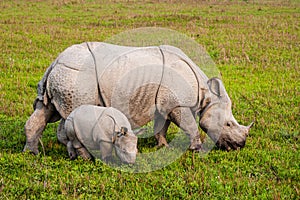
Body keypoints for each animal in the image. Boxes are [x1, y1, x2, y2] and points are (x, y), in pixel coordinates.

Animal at [24, 41, 253, 155]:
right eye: (229, 124)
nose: (240, 145)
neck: (206, 94)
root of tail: (55, 61)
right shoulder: (178, 104)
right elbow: (189, 125)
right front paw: (197, 149)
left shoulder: (164, 103)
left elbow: (162, 125)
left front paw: (163, 146)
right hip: (77, 76)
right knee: (72, 116)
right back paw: (83, 155)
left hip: (64, 73)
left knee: (44, 111)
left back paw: (32, 153)